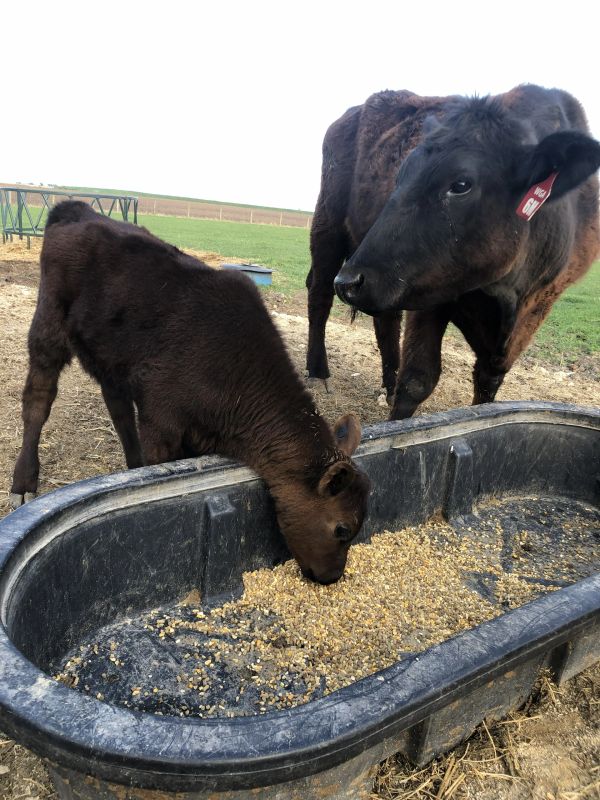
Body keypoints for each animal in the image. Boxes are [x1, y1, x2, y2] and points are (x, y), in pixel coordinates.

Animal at [10, 201, 370, 585]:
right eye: (342, 529)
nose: (331, 576)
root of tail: (78, 210)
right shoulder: (161, 423)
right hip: (48, 323)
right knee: (38, 399)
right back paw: (24, 483)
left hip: (112, 355)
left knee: (118, 408)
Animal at [306, 84, 600, 419]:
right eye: (400, 178)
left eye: (461, 184)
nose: (349, 282)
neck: (505, 295)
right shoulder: (431, 292)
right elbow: (418, 379)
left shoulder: (539, 305)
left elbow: (489, 382)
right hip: (329, 225)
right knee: (320, 295)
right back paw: (318, 373)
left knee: (386, 320)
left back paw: (387, 384)